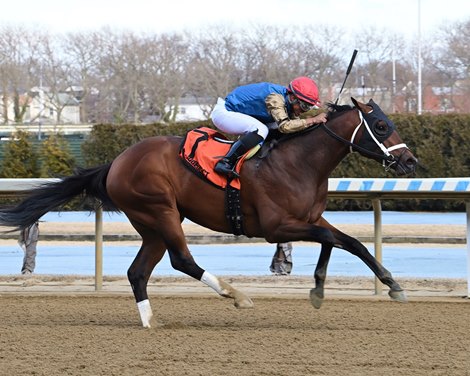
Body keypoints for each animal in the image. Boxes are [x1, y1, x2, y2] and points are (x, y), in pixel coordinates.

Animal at [0, 97, 418, 326]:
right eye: (381, 125)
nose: (410, 162)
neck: (300, 162)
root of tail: (116, 162)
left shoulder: (308, 219)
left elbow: (346, 242)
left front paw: (342, 287)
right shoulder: (278, 226)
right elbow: (337, 240)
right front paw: (385, 285)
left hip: (153, 223)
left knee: (138, 272)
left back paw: (151, 322)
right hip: (161, 211)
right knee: (181, 259)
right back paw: (235, 294)